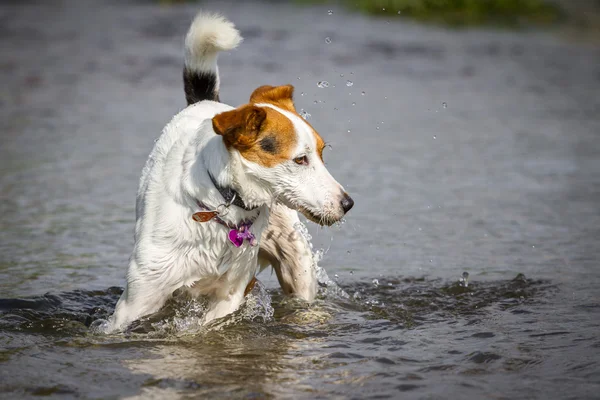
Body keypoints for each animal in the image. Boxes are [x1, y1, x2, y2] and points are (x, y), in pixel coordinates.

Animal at [106, 11, 352, 332]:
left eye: (322, 154)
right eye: (300, 160)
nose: (348, 203)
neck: (221, 205)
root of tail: (205, 101)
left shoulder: (232, 291)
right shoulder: (138, 299)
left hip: (297, 262)